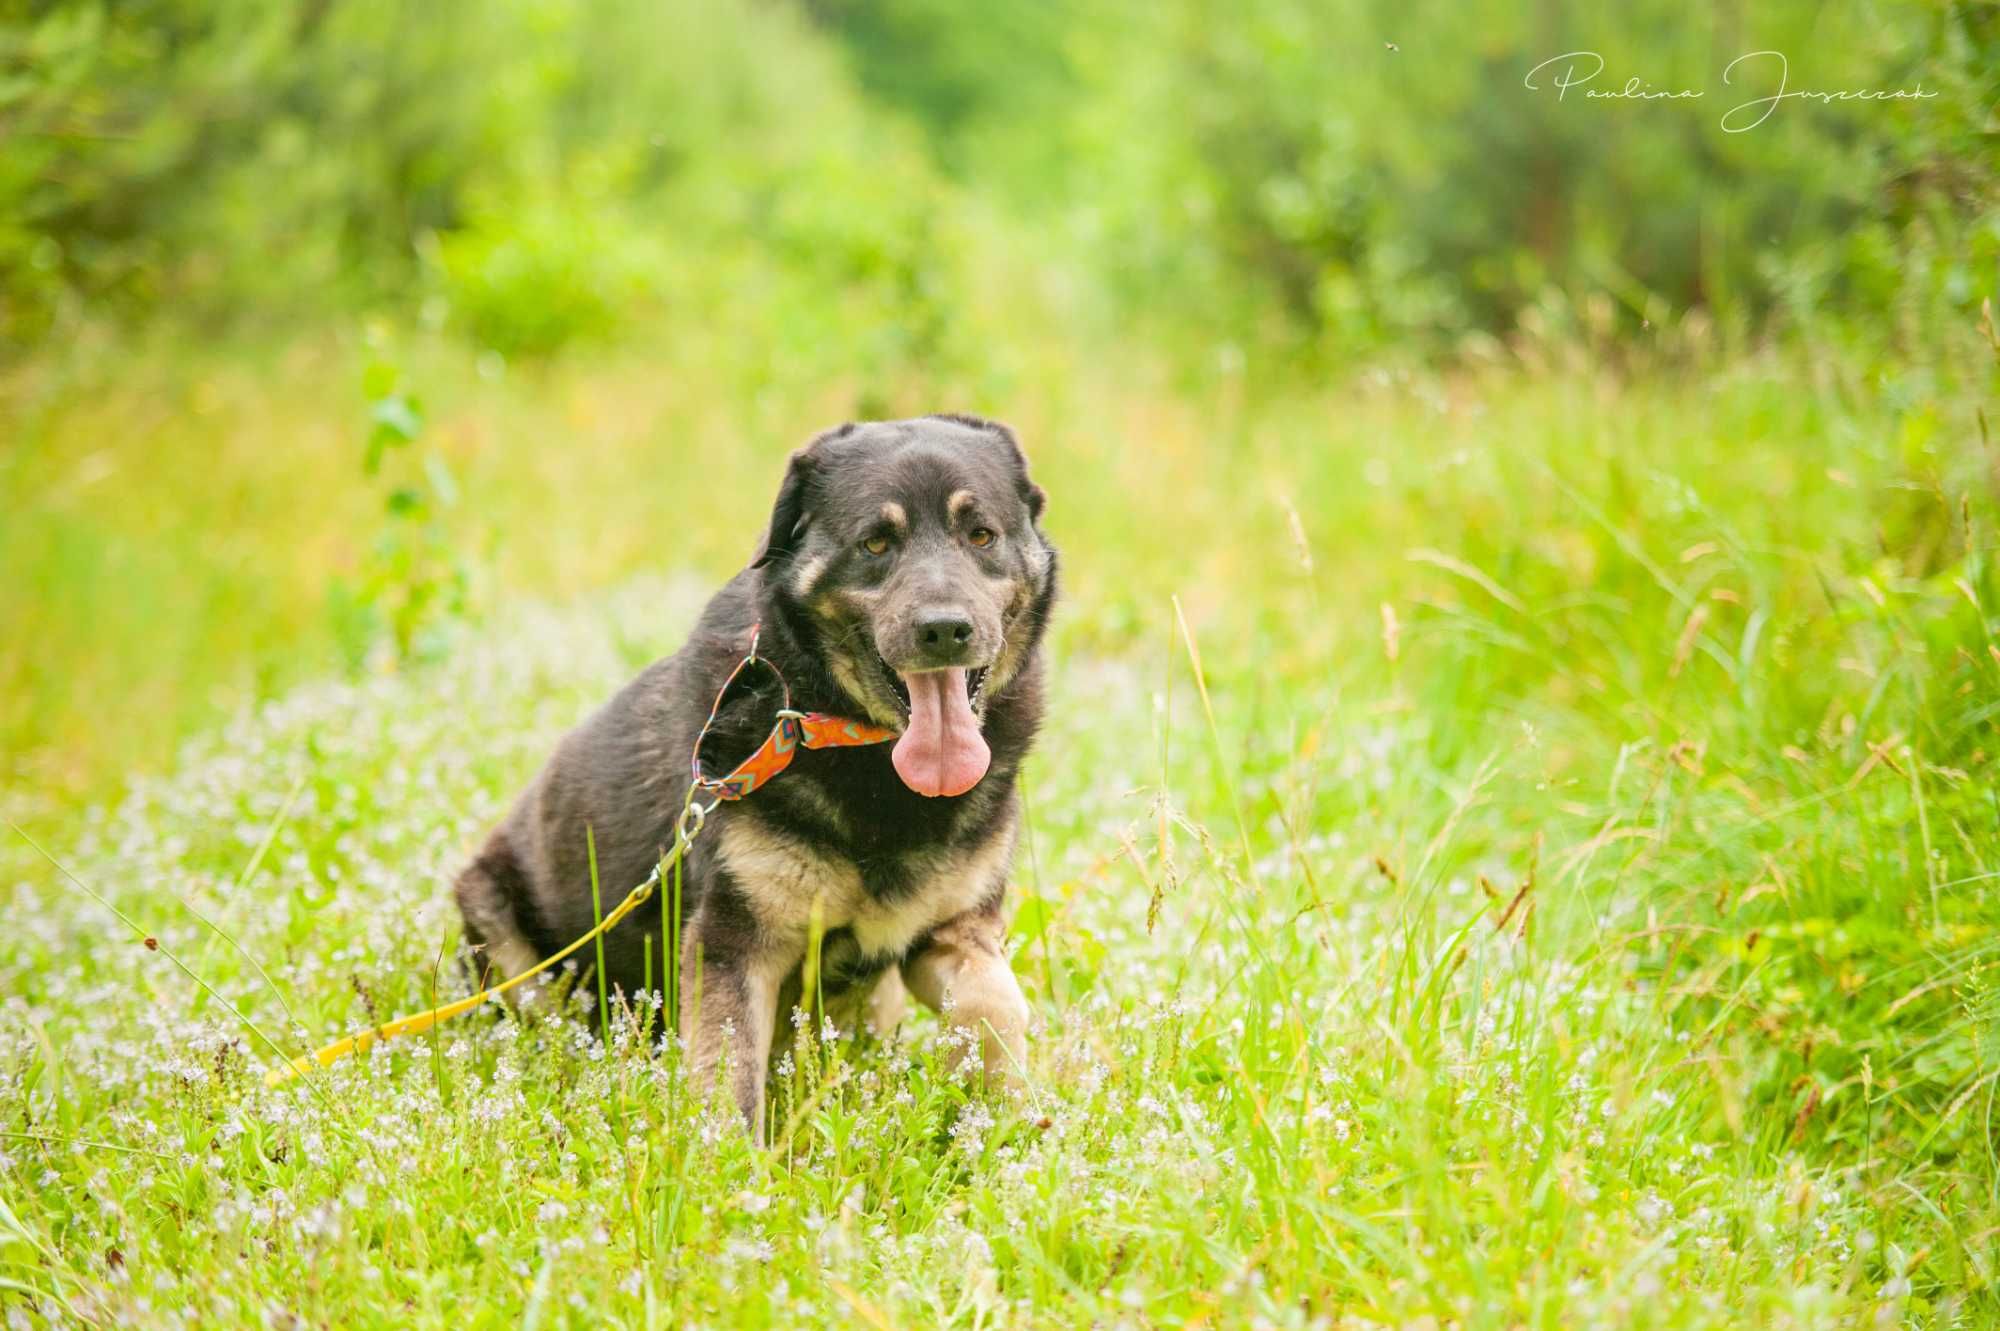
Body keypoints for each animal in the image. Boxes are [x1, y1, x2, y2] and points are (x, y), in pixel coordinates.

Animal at [448, 411, 1056, 1127]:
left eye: (981, 535)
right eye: (876, 544)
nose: (945, 630)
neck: (854, 739)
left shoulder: (954, 927)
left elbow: (996, 1003)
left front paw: (1006, 1118)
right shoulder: (735, 940)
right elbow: (726, 1072)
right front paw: (728, 1156)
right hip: (499, 919)